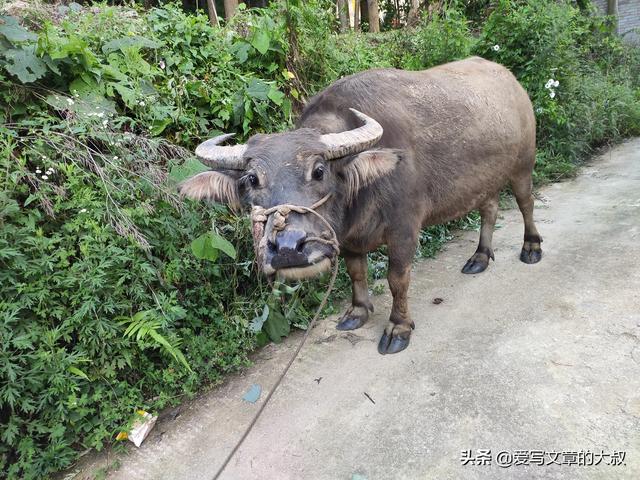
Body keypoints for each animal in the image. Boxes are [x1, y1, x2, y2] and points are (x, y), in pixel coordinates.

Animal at [179, 57, 540, 356]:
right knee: (489, 209)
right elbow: (355, 272)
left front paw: (398, 327)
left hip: (523, 164)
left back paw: (531, 248)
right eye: (252, 179)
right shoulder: (349, 237)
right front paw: (357, 311)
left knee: (526, 204)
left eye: (319, 171)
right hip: (486, 179)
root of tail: (511, 81)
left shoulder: (404, 229)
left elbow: (397, 279)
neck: (359, 190)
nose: (288, 249)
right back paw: (480, 257)